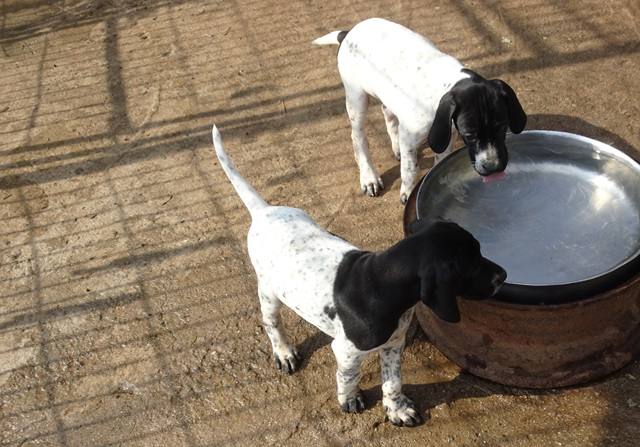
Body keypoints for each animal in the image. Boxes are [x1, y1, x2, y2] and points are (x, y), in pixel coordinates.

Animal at [212, 125, 506, 426]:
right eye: (471, 264)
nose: (503, 275)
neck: (381, 284)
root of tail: (265, 211)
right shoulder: (346, 352)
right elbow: (348, 377)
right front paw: (349, 398)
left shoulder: (394, 342)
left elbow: (393, 380)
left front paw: (396, 408)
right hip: (269, 290)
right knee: (272, 323)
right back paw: (284, 352)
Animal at [313, 18, 527, 204]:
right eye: (470, 136)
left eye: (502, 128)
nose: (494, 168)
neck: (450, 82)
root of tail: (349, 32)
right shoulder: (411, 137)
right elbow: (410, 170)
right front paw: (408, 192)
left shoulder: (447, 135)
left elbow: (440, 160)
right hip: (357, 97)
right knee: (358, 137)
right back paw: (369, 177)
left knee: (387, 112)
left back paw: (395, 146)